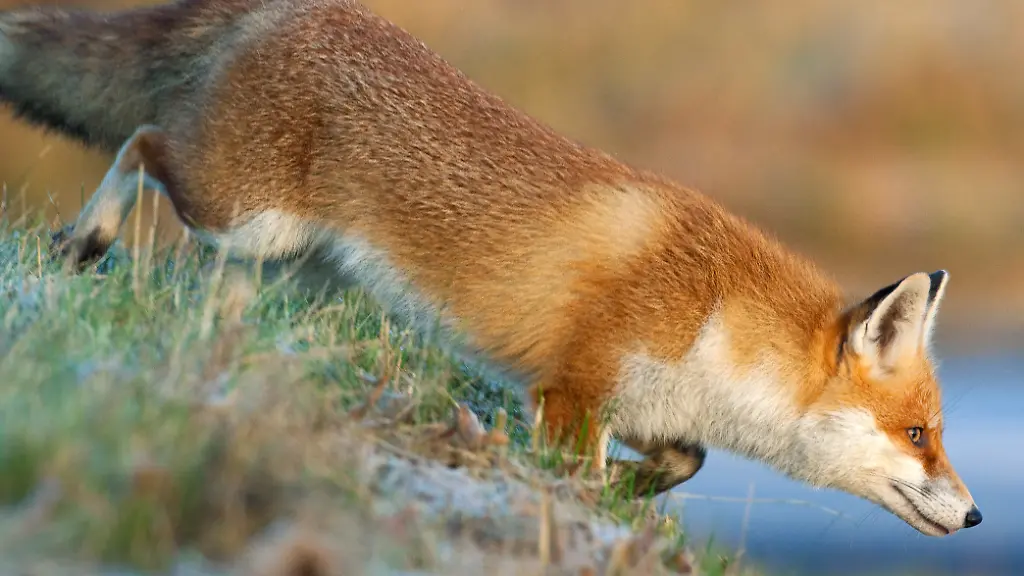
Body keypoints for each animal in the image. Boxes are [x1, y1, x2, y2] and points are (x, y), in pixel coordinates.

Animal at [0, 0, 983, 537]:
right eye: (918, 435)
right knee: (142, 140)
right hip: (237, 210)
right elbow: (586, 473)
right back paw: (85, 239)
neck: (714, 318)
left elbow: (686, 461)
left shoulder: (644, 407)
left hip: (276, 256)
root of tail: (291, 8)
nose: (976, 516)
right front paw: (589, 502)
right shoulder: (574, 390)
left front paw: (627, 490)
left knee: (220, 280)